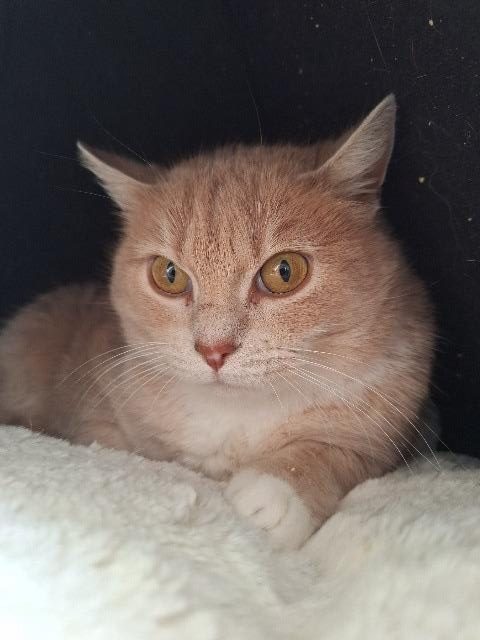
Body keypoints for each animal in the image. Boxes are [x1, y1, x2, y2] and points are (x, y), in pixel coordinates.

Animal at [0, 95, 435, 549]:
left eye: (284, 271)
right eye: (169, 275)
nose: (213, 350)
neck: (236, 420)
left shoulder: (399, 417)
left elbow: (342, 451)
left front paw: (278, 492)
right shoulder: (101, 411)